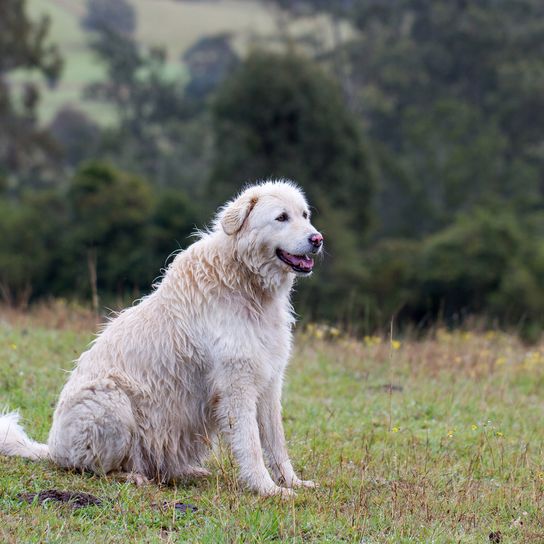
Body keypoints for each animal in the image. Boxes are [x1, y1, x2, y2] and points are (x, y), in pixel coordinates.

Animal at [0, 180, 324, 498]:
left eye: (304, 215)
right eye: (281, 217)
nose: (317, 239)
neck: (246, 282)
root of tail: (53, 449)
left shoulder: (269, 382)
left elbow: (276, 442)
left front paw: (293, 482)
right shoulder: (237, 385)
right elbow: (252, 444)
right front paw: (267, 489)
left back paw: (188, 472)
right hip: (112, 400)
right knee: (94, 469)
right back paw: (132, 477)